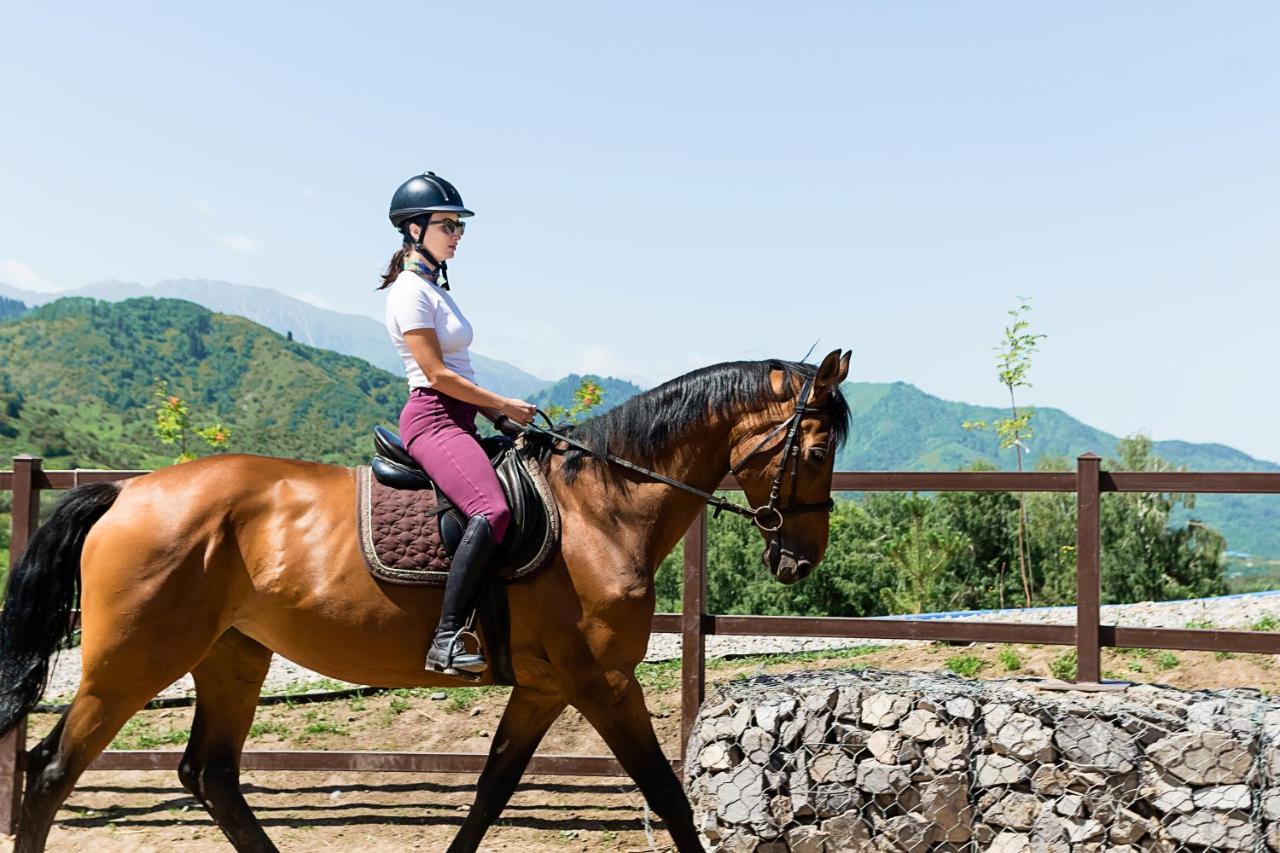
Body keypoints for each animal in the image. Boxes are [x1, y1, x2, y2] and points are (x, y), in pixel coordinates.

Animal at [5, 348, 855, 845]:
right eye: (816, 450)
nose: (799, 559)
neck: (603, 508)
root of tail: (128, 492)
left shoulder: (547, 685)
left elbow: (490, 791)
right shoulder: (603, 681)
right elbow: (667, 796)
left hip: (231, 656)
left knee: (210, 775)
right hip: (132, 659)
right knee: (50, 770)